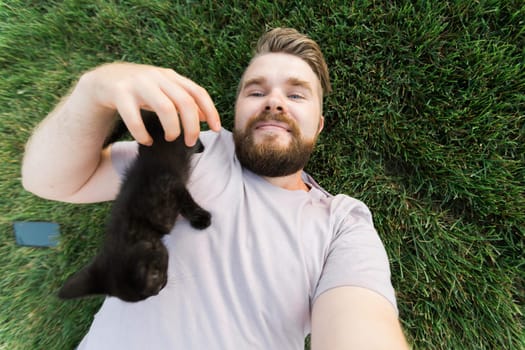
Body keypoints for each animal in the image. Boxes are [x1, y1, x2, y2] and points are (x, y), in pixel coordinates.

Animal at [57, 110, 211, 302]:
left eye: (157, 282)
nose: (159, 291)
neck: (137, 220)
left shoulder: (170, 185)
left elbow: (186, 203)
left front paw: (201, 219)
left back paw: (199, 147)